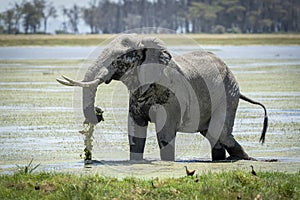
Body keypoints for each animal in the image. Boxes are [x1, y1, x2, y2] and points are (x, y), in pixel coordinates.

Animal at [56, 34, 268, 162]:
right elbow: (135, 134)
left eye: (119, 58)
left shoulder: (171, 96)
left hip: (228, 94)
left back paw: (246, 160)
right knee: (213, 136)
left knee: (220, 134)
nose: (98, 115)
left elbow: (164, 135)